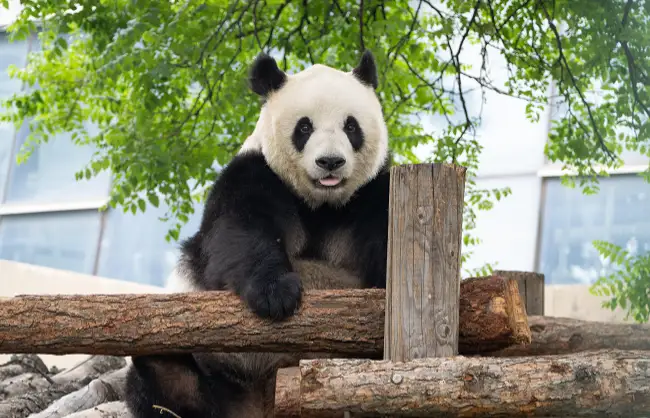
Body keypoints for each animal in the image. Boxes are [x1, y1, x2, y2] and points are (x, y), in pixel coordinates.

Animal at [125, 49, 391, 418]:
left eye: (351, 126)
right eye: (304, 127)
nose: (330, 162)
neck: (320, 203)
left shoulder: (372, 193)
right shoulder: (255, 174)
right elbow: (239, 234)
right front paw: (276, 293)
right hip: (213, 367)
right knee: (162, 378)